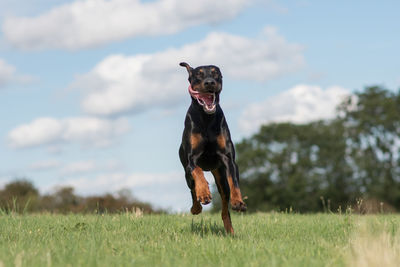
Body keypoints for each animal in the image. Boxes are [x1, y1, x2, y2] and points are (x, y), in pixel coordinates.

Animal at [179, 62, 247, 234]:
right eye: (198, 74)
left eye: (216, 73)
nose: (210, 82)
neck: (206, 117)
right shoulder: (191, 159)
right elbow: (197, 171)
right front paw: (204, 192)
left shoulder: (228, 158)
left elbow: (234, 181)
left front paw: (238, 201)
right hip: (186, 173)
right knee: (192, 188)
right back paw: (196, 207)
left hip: (220, 176)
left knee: (224, 208)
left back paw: (230, 230)